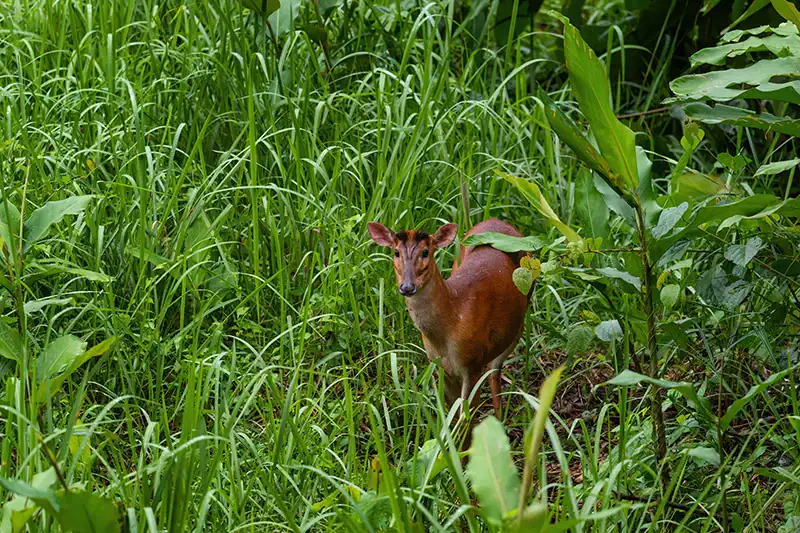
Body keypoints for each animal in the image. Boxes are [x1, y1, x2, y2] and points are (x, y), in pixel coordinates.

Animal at [368, 218, 529, 423]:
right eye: (396, 252)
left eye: (425, 252)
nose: (407, 286)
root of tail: (496, 220)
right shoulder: (440, 366)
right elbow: (452, 416)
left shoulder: (472, 364)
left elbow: (466, 419)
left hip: (521, 314)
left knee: (495, 368)